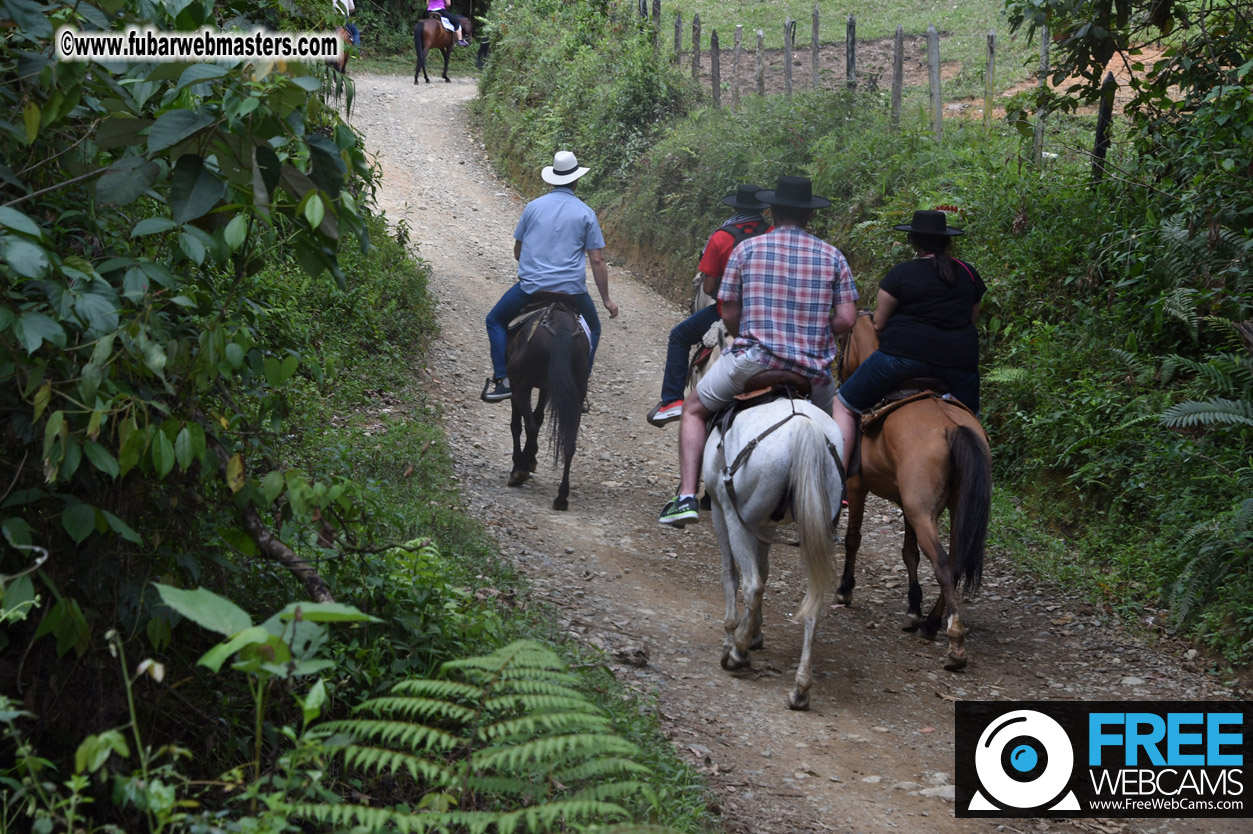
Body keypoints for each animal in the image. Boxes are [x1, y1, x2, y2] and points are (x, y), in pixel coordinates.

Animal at [503, 295, 586, 510]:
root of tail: (562, 329)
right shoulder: (547, 387)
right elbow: (538, 417)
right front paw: (530, 458)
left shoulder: (518, 386)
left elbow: (518, 425)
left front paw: (522, 464)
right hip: (574, 392)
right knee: (569, 441)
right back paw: (562, 497)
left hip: (520, 386)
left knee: (529, 425)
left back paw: (520, 470)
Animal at [711, 385, 847, 706]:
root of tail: (803, 426)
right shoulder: (764, 526)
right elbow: (764, 568)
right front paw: (754, 632)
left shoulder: (720, 510)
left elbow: (731, 575)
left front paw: (734, 636)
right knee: (813, 604)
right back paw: (800, 688)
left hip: (738, 518)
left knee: (752, 585)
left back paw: (736, 655)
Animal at [837, 311, 992, 671]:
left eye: (842, 341)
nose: (838, 371)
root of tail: (954, 426)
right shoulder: (906, 503)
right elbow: (909, 553)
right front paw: (912, 610)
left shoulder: (858, 486)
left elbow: (854, 539)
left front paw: (845, 589)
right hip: (942, 508)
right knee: (956, 561)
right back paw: (932, 623)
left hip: (922, 511)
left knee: (944, 563)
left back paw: (954, 643)